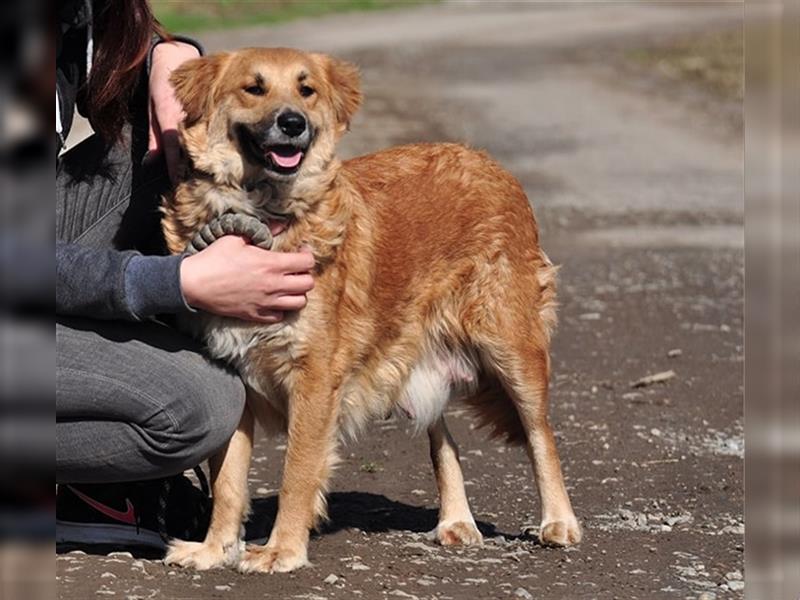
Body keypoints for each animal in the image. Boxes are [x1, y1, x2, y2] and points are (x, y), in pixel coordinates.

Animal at [161, 47, 580, 572]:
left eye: (306, 90)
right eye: (254, 88)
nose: (293, 123)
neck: (263, 214)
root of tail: (484, 160)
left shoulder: (315, 379)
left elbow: (297, 472)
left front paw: (282, 550)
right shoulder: (236, 380)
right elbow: (228, 483)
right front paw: (214, 549)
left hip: (512, 350)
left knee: (541, 435)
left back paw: (558, 522)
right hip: (410, 353)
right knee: (444, 437)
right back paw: (456, 520)